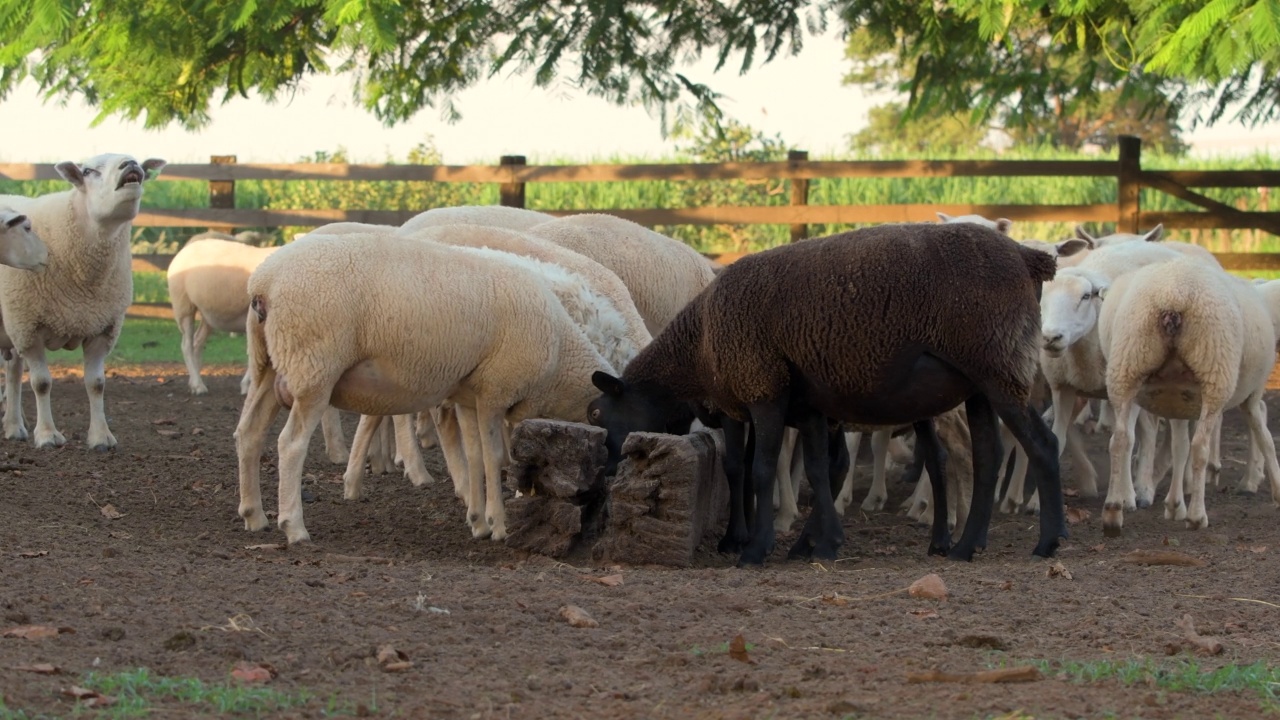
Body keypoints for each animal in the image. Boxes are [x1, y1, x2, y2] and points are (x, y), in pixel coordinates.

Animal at [0, 152, 165, 448]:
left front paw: (101, 437)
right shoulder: (29, 329)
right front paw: (47, 435)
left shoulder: (102, 328)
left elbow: (96, 383)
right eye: (88, 171)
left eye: (141, 166)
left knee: (13, 370)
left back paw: (14, 425)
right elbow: (41, 383)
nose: (130, 164)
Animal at [238, 230, 622, 543]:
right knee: (290, 444)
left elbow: (474, 456)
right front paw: (498, 525)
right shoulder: (494, 391)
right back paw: (294, 527)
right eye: (601, 415)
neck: (560, 351)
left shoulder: (470, 395)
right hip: (313, 367)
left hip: (268, 366)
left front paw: (478, 521)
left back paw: (254, 515)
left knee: (248, 433)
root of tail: (264, 281)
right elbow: (493, 457)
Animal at [586, 221, 1064, 563]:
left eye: (598, 414)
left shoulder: (761, 388)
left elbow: (759, 470)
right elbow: (815, 470)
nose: (606, 474)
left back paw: (1047, 543)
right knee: (987, 456)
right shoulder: (799, 406)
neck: (699, 341)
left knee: (1041, 444)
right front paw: (821, 543)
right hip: (979, 382)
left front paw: (754, 549)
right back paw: (965, 547)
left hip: (1000, 367)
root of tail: (1028, 257)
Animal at [1095, 253, 1280, 532]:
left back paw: (1113, 513)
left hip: (1127, 365)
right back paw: (1197, 516)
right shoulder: (1251, 395)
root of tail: (1174, 295)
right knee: (1201, 445)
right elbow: (1265, 437)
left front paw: (1174, 506)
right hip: (1215, 371)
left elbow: (1178, 448)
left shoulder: (1178, 399)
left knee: (1120, 439)